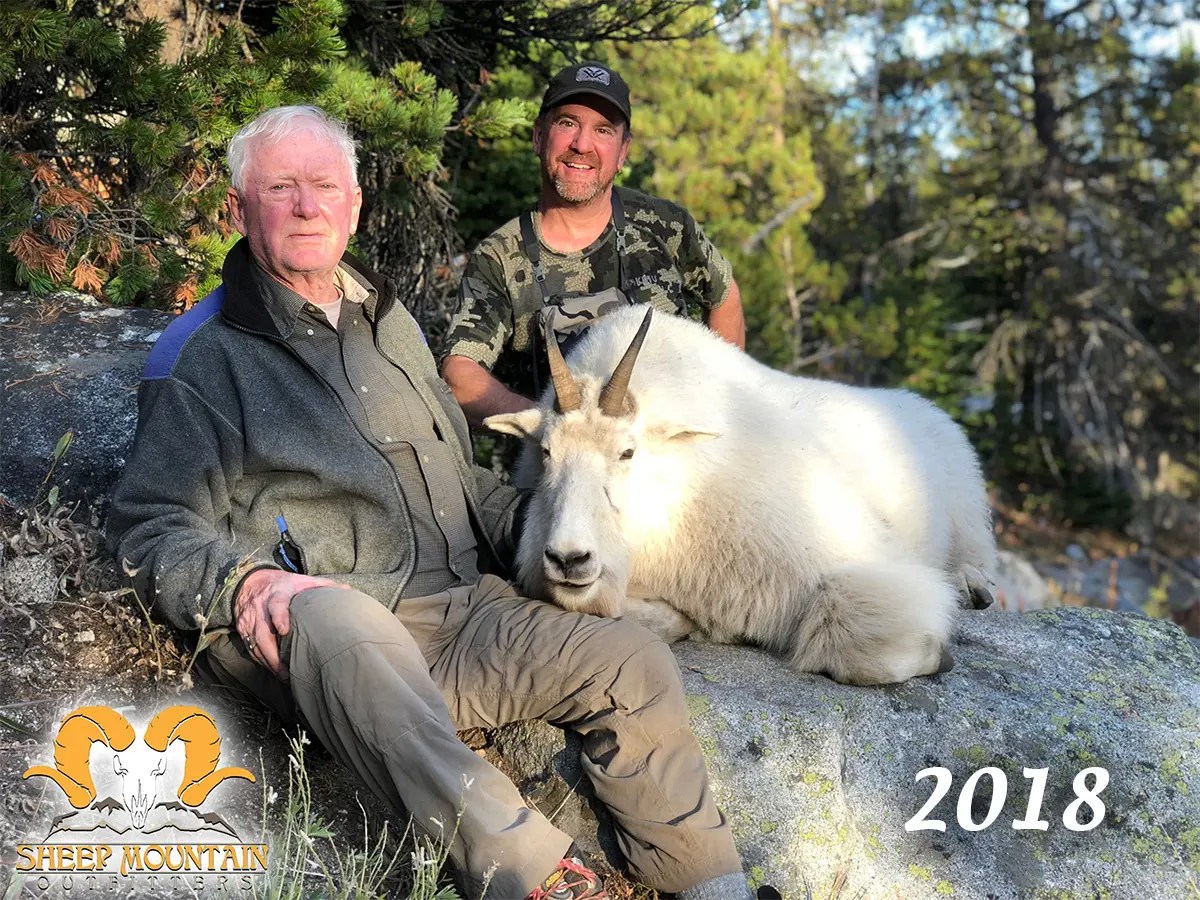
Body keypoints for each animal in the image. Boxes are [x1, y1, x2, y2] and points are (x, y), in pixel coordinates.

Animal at [485, 307, 998, 686]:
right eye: (547, 451)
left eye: (627, 451)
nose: (569, 559)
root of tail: (930, 410)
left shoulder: (857, 561)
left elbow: (861, 648)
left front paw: (940, 654)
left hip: (968, 511)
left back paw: (970, 586)